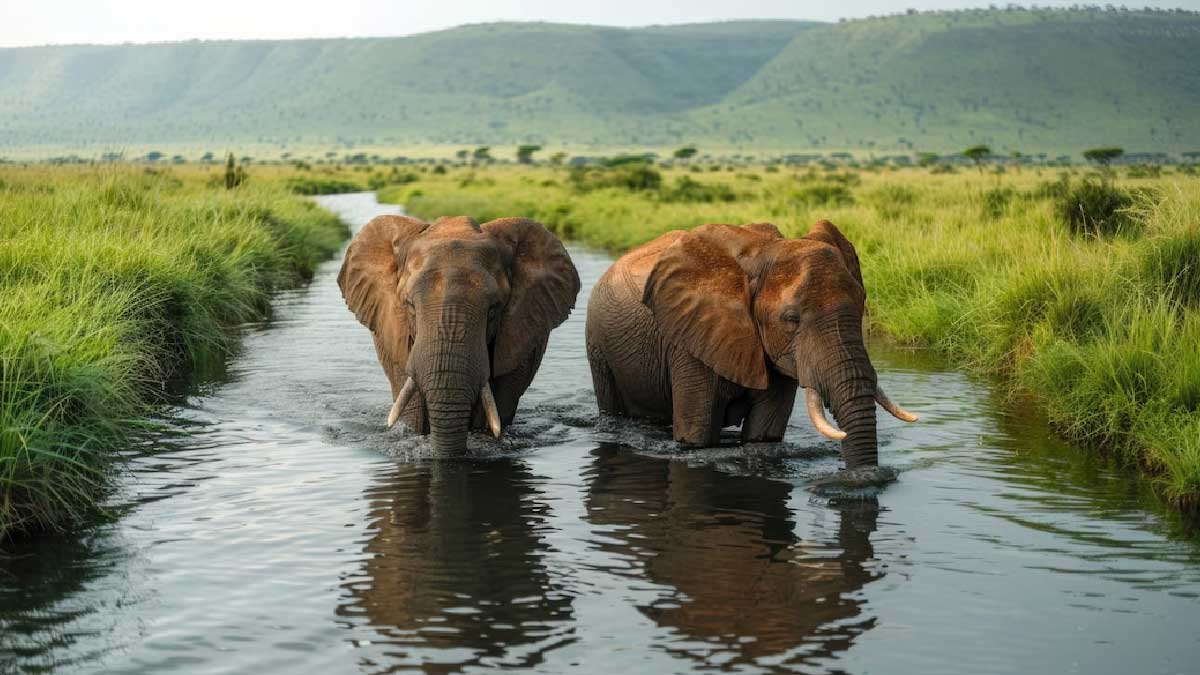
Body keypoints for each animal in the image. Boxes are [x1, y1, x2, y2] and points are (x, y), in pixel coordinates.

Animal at [585, 219, 916, 469]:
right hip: (598, 346)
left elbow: (764, 436)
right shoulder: (690, 342)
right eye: (791, 319)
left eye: (863, 304)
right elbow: (696, 438)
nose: (864, 479)